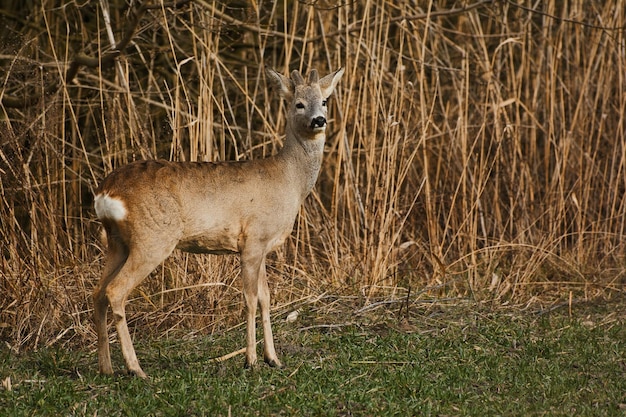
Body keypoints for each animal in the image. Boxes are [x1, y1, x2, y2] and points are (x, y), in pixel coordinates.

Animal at [91, 66, 342, 376]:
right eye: (299, 104)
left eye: (325, 101)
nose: (319, 120)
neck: (290, 180)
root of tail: (106, 191)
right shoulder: (252, 240)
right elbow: (249, 299)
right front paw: (251, 360)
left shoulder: (262, 247)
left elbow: (266, 298)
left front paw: (273, 358)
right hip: (151, 238)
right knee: (115, 291)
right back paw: (136, 368)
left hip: (116, 242)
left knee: (98, 292)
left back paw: (106, 367)